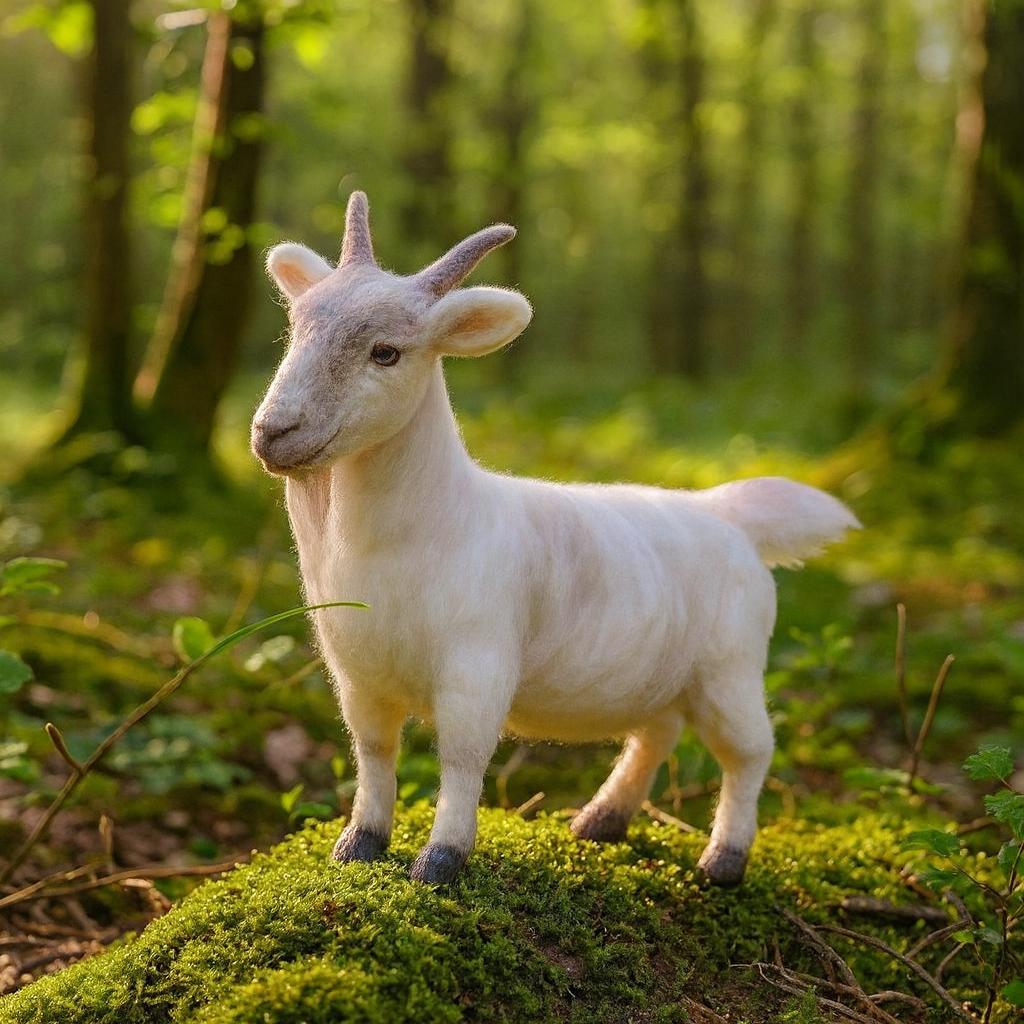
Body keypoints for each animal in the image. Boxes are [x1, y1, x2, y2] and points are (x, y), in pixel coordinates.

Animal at [251, 191, 859, 886]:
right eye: (295, 329)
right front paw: (359, 844)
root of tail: (727, 514)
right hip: (664, 671)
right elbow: (374, 749)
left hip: (731, 664)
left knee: (749, 750)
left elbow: (462, 755)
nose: (273, 432)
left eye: (386, 352)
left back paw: (724, 860)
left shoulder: (478, 660)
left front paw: (440, 861)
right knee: (657, 732)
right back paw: (601, 820)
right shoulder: (357, 669)